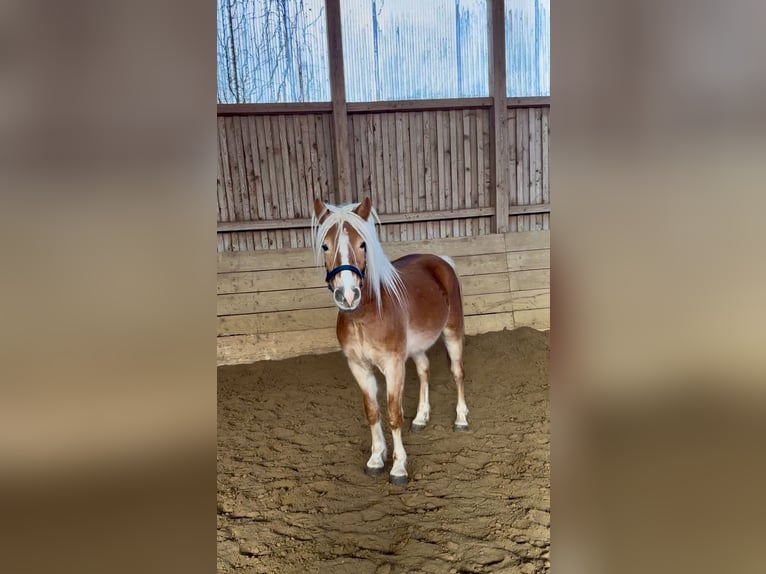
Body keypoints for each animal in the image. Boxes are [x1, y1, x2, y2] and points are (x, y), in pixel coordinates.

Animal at [312, 197, 469, 486]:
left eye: (363, 244)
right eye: (325, 245)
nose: (348, 295)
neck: (365, 316)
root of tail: (441, 261)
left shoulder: (394, 365)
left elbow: (394, 414)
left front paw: (398, 467)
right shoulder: (359, 367)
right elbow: (372, 411)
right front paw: (376, 459)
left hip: (453, 332)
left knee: (457, 372)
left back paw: (461, 419)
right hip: (416, 347)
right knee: (424, 370)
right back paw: (421, 418)